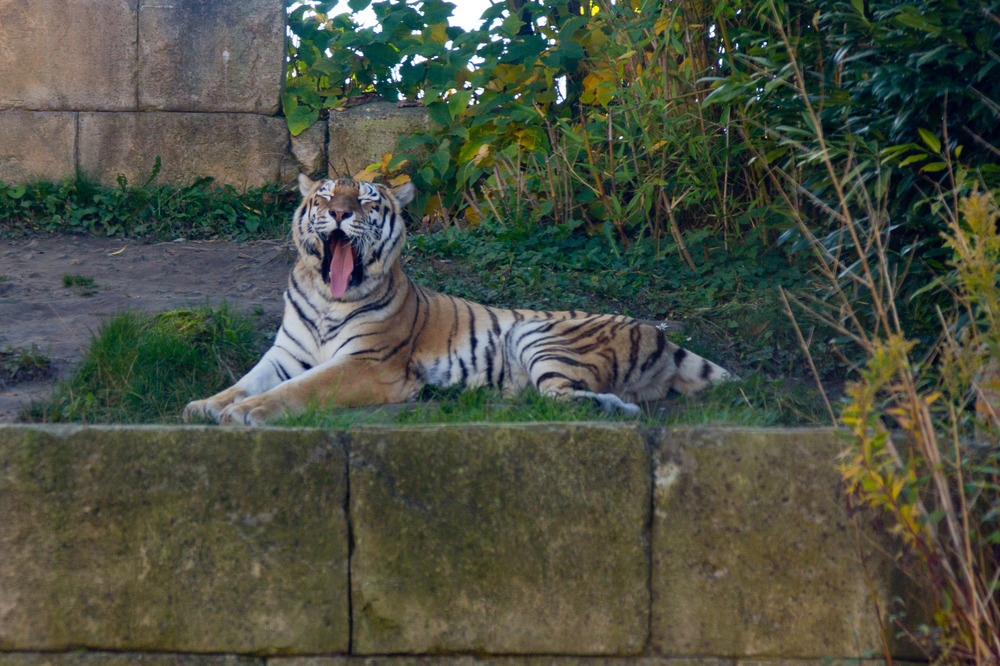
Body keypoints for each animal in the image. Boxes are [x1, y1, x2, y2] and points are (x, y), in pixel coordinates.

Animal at [182, 174, 736, 422]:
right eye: (323, 196)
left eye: (365, 201)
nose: (339, 213)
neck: (327, 296)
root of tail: (658, 333)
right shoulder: (284, 355)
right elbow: (241, 383)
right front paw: (203, 406)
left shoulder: (367, 364)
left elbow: (300, 389)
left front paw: (246, 413)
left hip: (540, 337)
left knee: (571, 397)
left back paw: (611, 410)